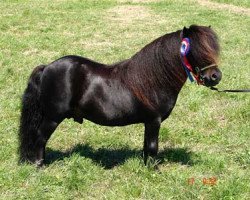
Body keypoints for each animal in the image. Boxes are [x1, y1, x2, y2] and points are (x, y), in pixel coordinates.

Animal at [18, 24, 222, 166]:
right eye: (196, 51)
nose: (215, 76)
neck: (153, 80)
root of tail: (47, 67)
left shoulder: (148, 122)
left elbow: (146, 146)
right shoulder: (154, 121)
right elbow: (153, 147)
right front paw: (153, 170)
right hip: (53, 117)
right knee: (40, 138)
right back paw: (38, 165)